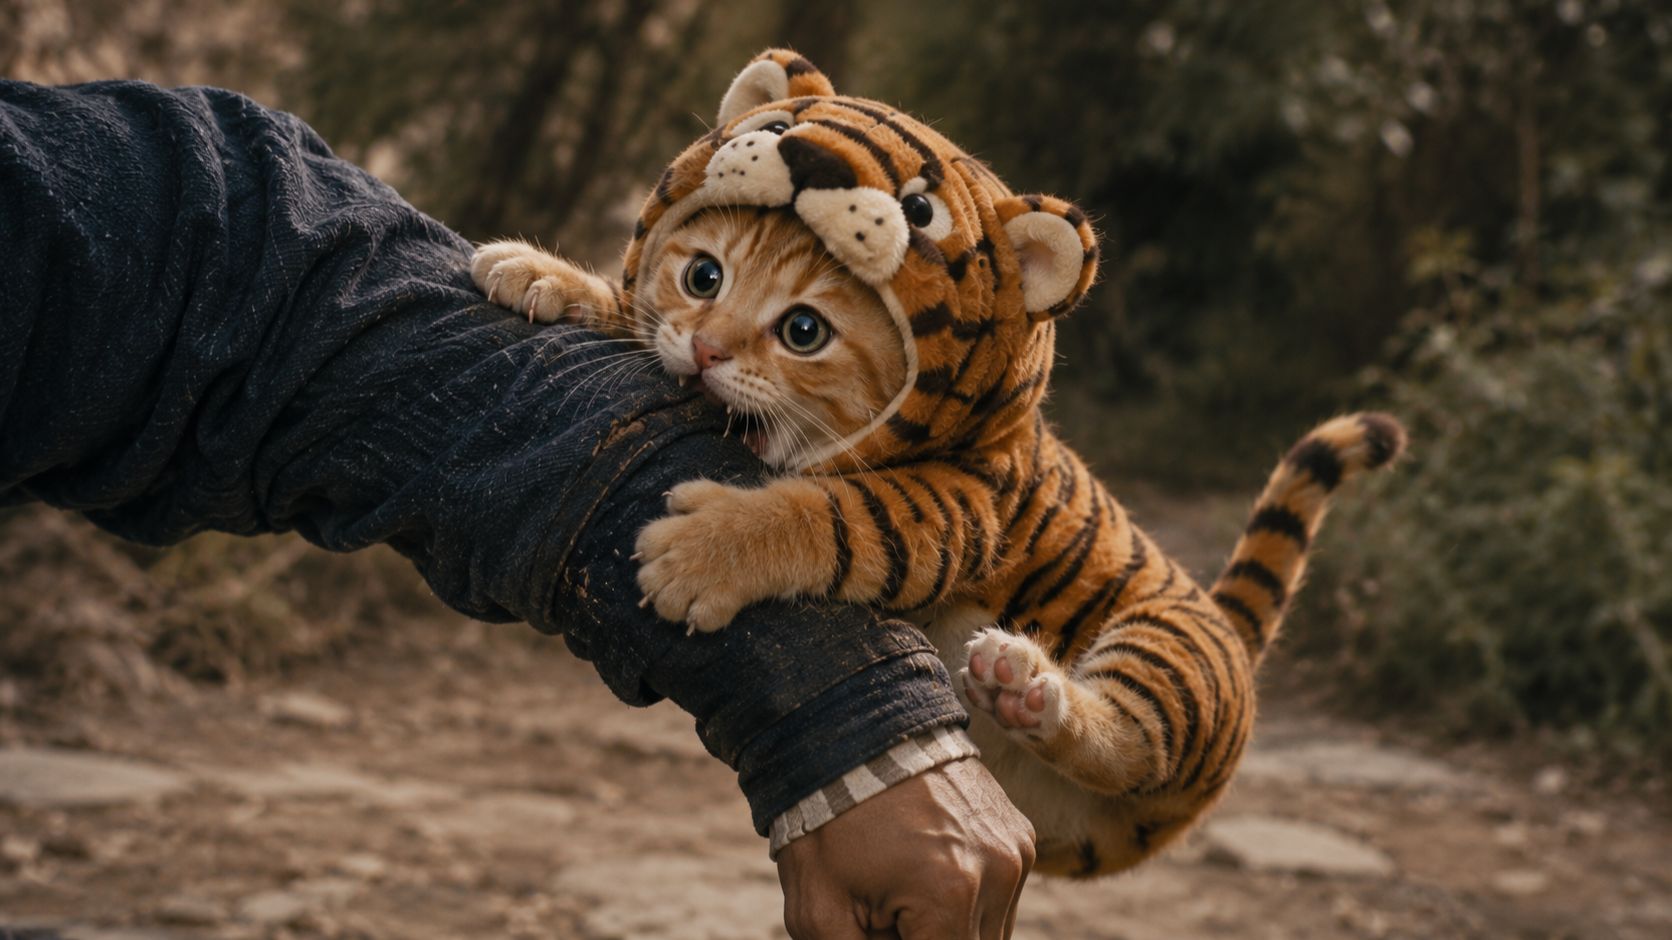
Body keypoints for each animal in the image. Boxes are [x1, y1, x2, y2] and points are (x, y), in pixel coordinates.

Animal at [471, 49, 1406, 877]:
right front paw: (536, 271)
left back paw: (1026, 686)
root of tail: (1231, 631)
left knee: (1131, 741)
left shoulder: (949, 506)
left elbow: (827, 513)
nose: (703, 353)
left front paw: (695, 556)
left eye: (803, 331)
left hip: (1171, 652)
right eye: (704, 276)